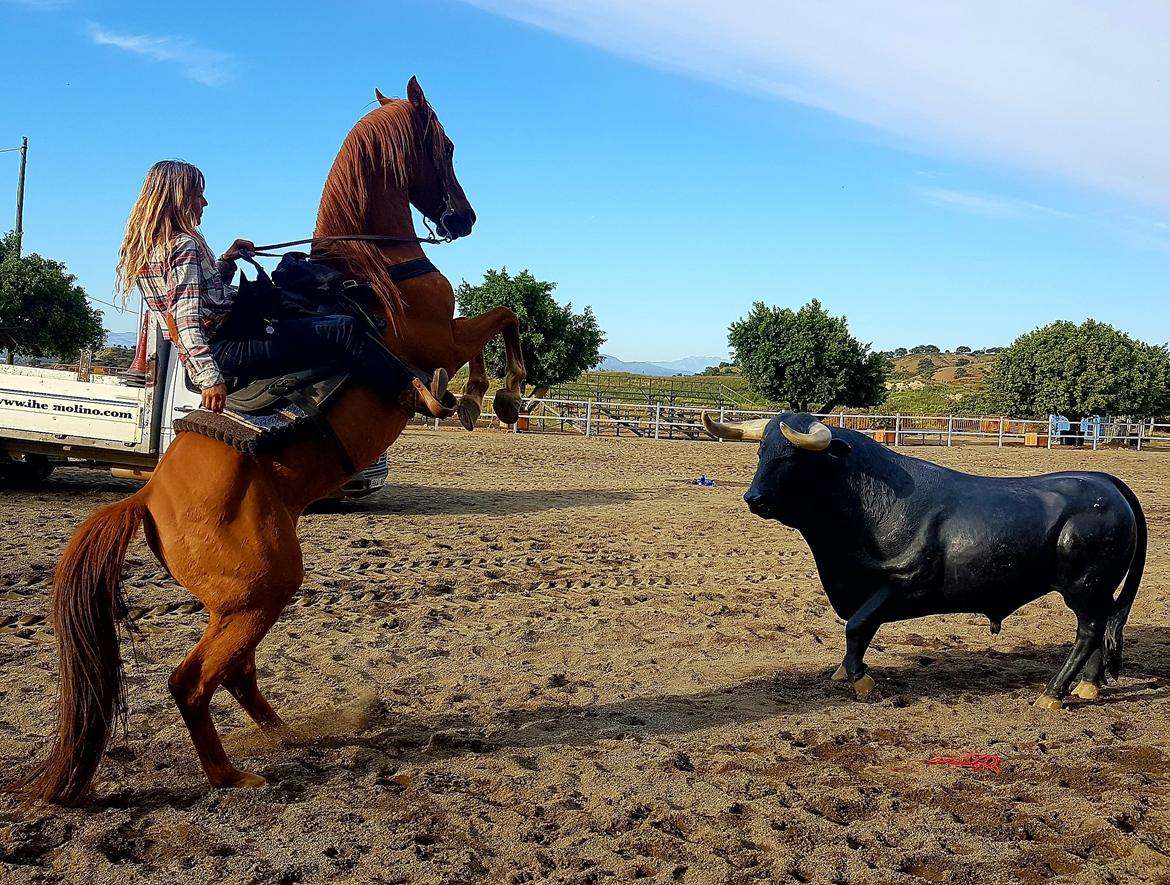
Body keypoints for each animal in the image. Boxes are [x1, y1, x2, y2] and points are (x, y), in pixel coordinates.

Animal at [13, 79, 524, 805]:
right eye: (446, 145)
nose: (463, 217)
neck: (373, 266)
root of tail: (144, 499)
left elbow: (501, 320)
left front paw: (482, 398)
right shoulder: (437, 340)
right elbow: (502, 318)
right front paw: (489, 397)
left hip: (242, 602)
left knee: (233, 674)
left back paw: (291, 736)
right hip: (263, 590)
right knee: (191, 681)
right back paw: (231, 773)